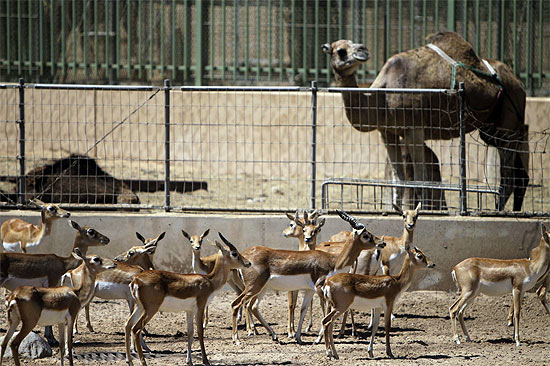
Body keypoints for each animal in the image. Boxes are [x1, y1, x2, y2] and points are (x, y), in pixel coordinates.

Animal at [125, 234, 252, 366]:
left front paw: (189, 361)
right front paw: (206, 360)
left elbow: (190, 333)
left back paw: (129, 361)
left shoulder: (189, 311)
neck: (210, 281)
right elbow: (200, 332)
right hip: (151, 309)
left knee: (127, 325)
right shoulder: (200, 307)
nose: (248, 263)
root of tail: (136, 280)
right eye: (234, 253)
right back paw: (143, 362)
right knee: (136, 329)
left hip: (140, 307)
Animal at [231, 210, 386, 344]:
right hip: (253, 287)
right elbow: (325, 310)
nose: (381, 243)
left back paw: (274, 336)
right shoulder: (319, 288)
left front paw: (298, 337)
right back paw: (237, 339)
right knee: (236, 304)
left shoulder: (310, 290)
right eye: (366, 235)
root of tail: (245, 257)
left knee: (253, 306)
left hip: (262, 288)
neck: (333, 261)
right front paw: (318, 339)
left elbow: (303, 310)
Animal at [324, 31, 532, 212]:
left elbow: (420, 180)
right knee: (519, 175)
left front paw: (421, 210)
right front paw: (396, 209)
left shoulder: (414, 129)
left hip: (507, 124)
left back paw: (498, 210)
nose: (363, 50)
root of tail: (519, 82)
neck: (382, 95)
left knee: (508, 176)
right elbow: (399, 180)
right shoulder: (387, 132)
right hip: (494, 129)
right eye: (340, 50)